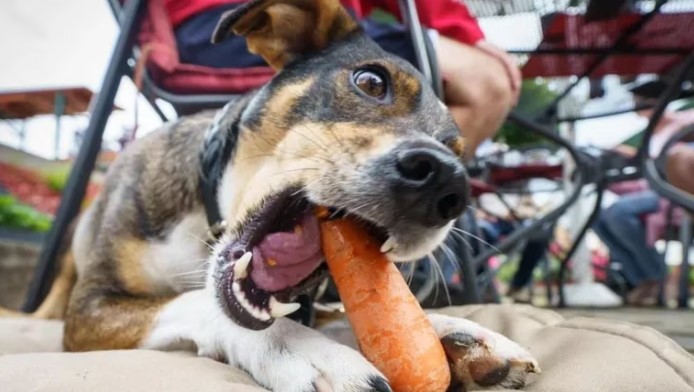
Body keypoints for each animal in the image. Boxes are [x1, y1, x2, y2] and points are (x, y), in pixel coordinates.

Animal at [2, 1, 540, 390]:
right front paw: (303, 348)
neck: (204, 228)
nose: (446, 183)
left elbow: (338, 314)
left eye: (459, 152)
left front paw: (457, 335)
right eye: (371, 81)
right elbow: (198, 302)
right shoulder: (91, 311)